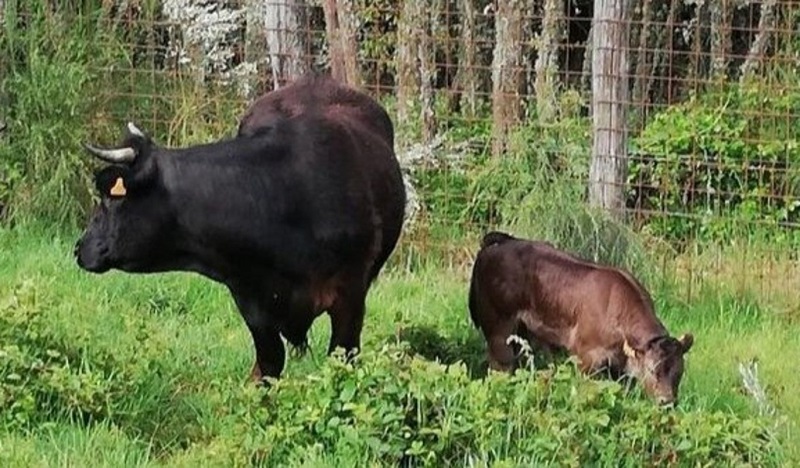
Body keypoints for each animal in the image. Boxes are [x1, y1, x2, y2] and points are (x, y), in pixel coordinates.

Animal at [468, 231, 692, 406]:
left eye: (679, 372)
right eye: (653, 370)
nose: (667, 402)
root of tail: (498, 244)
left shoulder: (619, 370)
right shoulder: (586, 358)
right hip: (498, 329)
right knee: (500, 366)